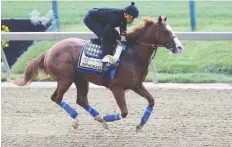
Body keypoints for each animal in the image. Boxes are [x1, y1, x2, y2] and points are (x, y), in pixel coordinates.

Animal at [10, 16, 184, 132]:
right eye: (166, 31)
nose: (180, 47)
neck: (132, 55)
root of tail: (49, 51)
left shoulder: (137, 85)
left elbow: (152, 101)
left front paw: (140, 124)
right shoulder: (117, 88)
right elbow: (124, 112)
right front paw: (106, 119)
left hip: (81, 79)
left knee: (81, 100)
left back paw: (96, 117)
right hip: (65, 79)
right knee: (56, 98)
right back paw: (80, 119)